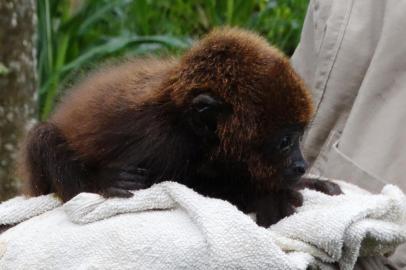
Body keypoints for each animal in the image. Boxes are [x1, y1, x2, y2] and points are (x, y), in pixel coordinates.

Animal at [18, 28, 340, 226]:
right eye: (285, 141)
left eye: (300, 136)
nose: (300, 164)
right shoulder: (163, 143)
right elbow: (182, 188)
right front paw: (270, 196)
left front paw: (304, 183)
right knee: (42, 137)